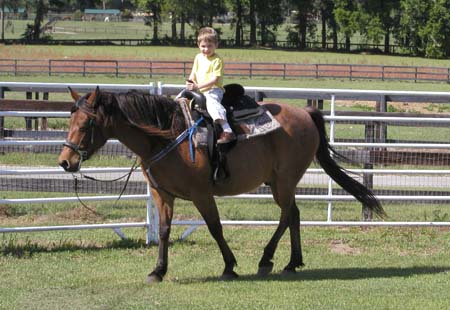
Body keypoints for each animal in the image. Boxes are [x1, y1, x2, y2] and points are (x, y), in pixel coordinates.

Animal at [58, 86, 384, 284]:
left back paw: (267, 259)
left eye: (85, 125)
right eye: (69, 122)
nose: (65, 161)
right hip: (279, 183)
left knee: (287, 215)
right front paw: (158, 271)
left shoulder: (202, 194)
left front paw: (229, 266)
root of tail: (305, 113)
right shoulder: (162, 193)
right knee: (294, 215)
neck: (166, 135)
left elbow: (215, 228)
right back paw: (292, 262)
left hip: (284, 181)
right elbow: (163, 231)